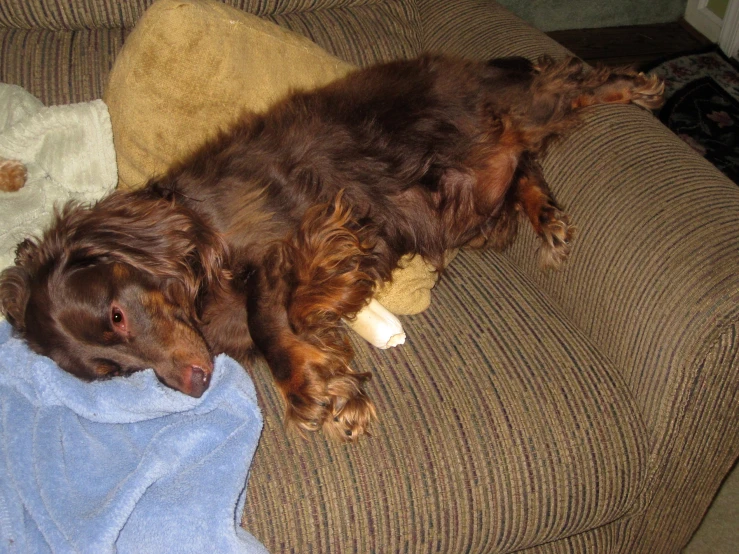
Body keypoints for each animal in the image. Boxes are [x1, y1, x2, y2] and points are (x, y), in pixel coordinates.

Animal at [0, 54, 660, 438]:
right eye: (112, 373)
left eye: (116, 315)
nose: (193, 385)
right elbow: (294, 318)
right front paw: (328, 362)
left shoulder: (285, 236)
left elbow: (268, 319)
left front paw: (307, 387)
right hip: (476, 203)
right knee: (523, 163)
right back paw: (547, 217)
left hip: (506, 114)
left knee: (567, 83)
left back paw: (636, 86)